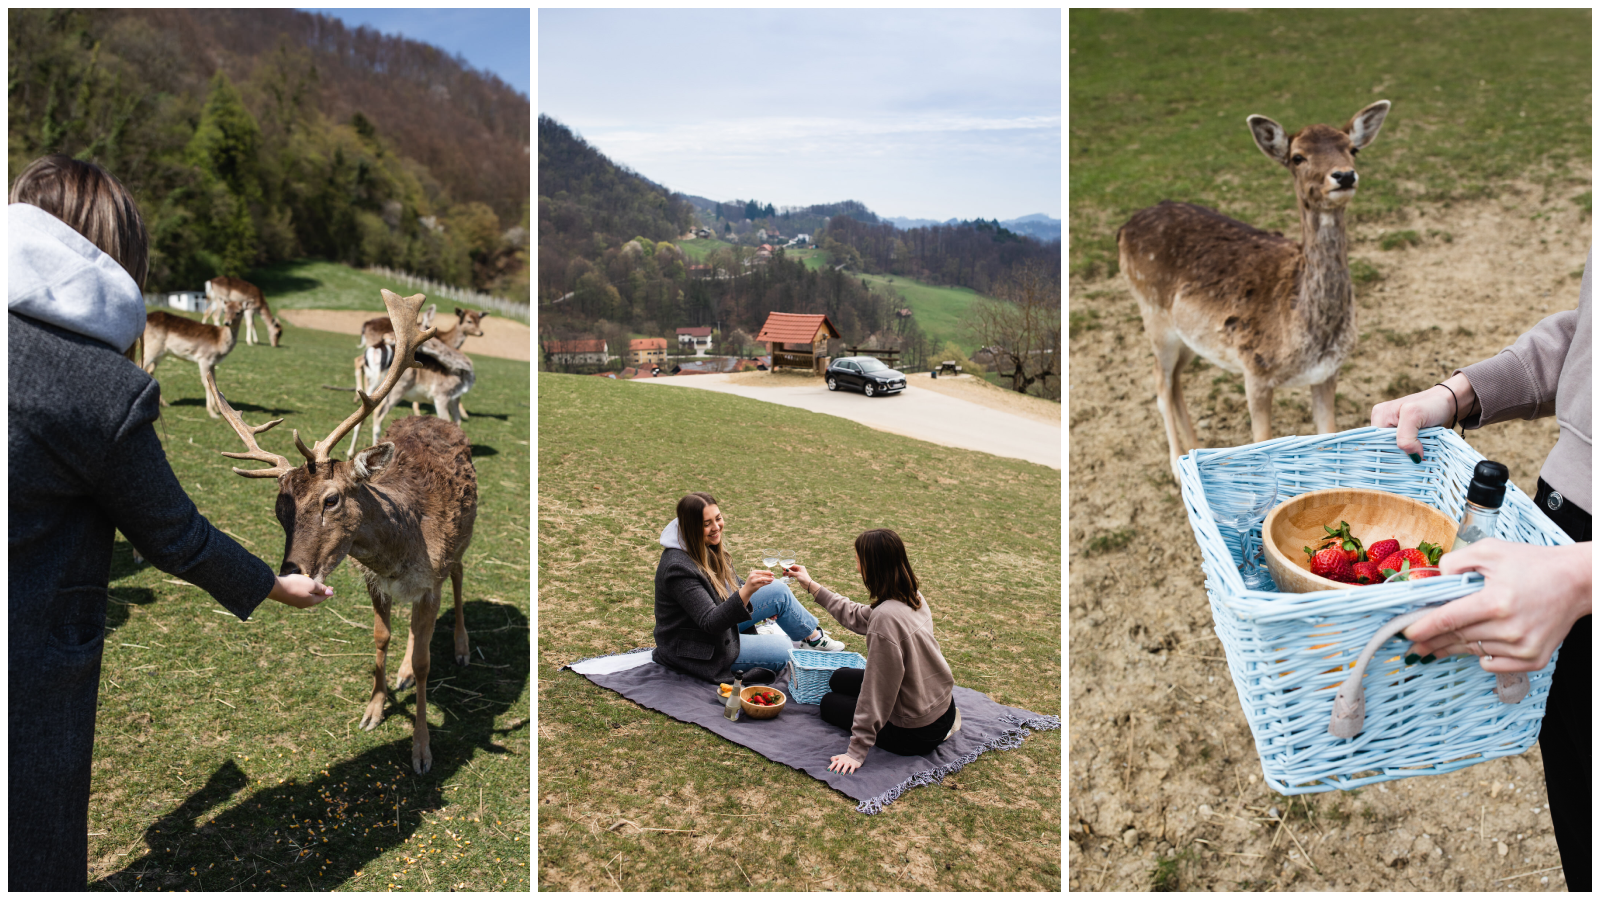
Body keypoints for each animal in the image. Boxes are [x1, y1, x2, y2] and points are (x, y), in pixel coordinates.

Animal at [201, 286, 473, 771]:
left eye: (331, 499)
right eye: (279, 509)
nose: (291, 572)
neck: (402, 552)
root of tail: (438, 419)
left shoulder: (430, 583)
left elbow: (428, 662)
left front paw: (422, 750)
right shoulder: (375, 583)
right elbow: (383, 638)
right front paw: (373, 710)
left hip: (462, 544)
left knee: (459, 576)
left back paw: (461, 647)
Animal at [1120, 98, 1395, 477]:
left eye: (1351, 148)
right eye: (1298, 156)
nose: (1343, 175)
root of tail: (1122, 229)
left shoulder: (1327, 373)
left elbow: (1329, 434)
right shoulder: (1255, 370)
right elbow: (1261, 440)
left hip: (1188, 335)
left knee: (1175, 381)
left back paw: (1194, 451)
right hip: (1152, 312)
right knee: (1160, 383)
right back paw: (1177, 466)